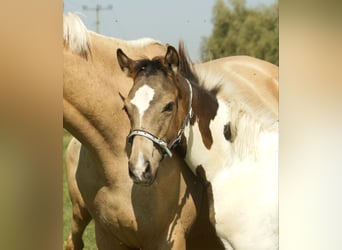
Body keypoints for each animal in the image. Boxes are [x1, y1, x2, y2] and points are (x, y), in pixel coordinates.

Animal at [63, 13, 224, 250]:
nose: (140, 170)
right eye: (126, 108)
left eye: (169, 106)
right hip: (79, 212)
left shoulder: (171, 238)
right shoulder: (107, 236)